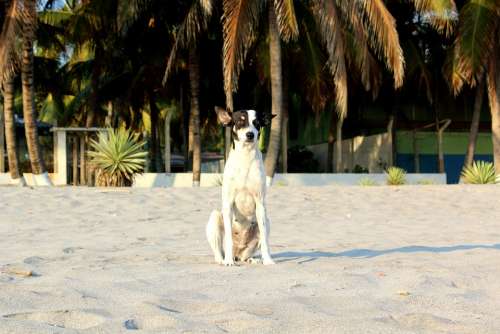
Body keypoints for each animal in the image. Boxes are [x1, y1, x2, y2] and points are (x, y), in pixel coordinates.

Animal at [207, 107, 278, 266]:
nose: (250, 134)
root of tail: (237, 253)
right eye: (240, 121)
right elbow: (228, 239)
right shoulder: (228, 204)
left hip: (267, 222)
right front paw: (228, 262)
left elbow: (265, 241)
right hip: (214, 218)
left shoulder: (260, 204)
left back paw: (252, 259)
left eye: (257, 123)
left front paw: (267, 260)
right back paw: (224, 259)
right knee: (218, 251)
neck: (245, 156)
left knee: (249, 253)